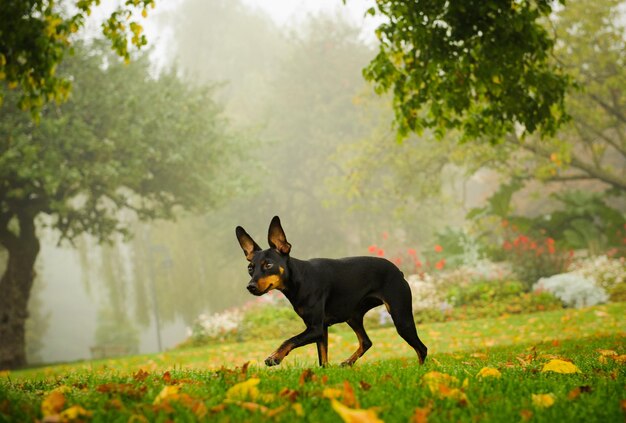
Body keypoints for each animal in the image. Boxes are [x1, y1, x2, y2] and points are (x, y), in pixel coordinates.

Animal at [233, 217, 424, 366]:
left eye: (268, 265)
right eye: (250, 268)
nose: (250, 286)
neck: (301, 279)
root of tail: (399, 271)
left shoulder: (315, 328)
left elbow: (290, 339)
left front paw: (275, 356)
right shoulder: (321, 329)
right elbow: (323, 360)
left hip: (401, 318)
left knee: (422, 349)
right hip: (353, 316)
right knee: (366, 342)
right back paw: (348, 362)